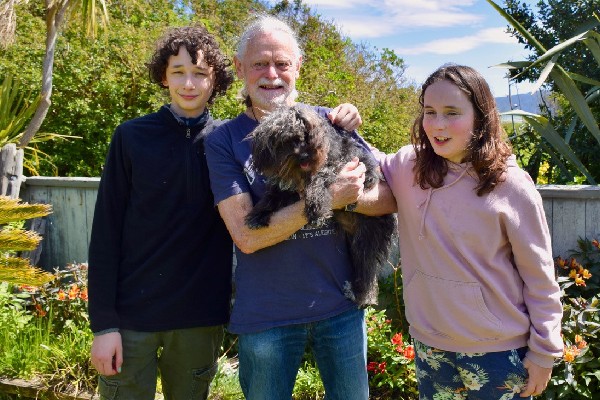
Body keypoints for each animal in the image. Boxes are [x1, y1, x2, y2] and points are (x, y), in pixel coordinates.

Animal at [244, 104, 394, 304]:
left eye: (308, 136)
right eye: (286, 140)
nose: (306, 154)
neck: (299, 173)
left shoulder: (333, 166)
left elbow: (318, 180)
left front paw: (316, 209)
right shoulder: (284, 186)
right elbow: (271, 197)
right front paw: (258, 214)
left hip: (368, 238)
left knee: (367, 270)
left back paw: (359, 294)